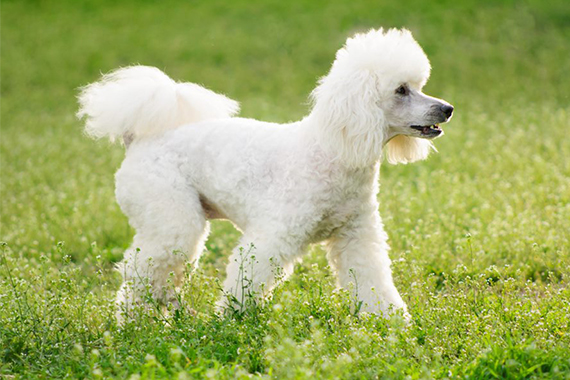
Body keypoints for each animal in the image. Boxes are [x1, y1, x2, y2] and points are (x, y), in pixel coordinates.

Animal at [77, 27, 452, 320]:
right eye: (400, 90)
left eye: (418, 85)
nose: (447, 109)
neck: (331, 151)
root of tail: (137, 140)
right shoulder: (274, 235)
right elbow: (248, 277)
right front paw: (230, 321)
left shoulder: (356, 235)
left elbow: (372, 279)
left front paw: (391, 322)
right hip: (171, 220)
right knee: (139, 273)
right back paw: (133, 324)